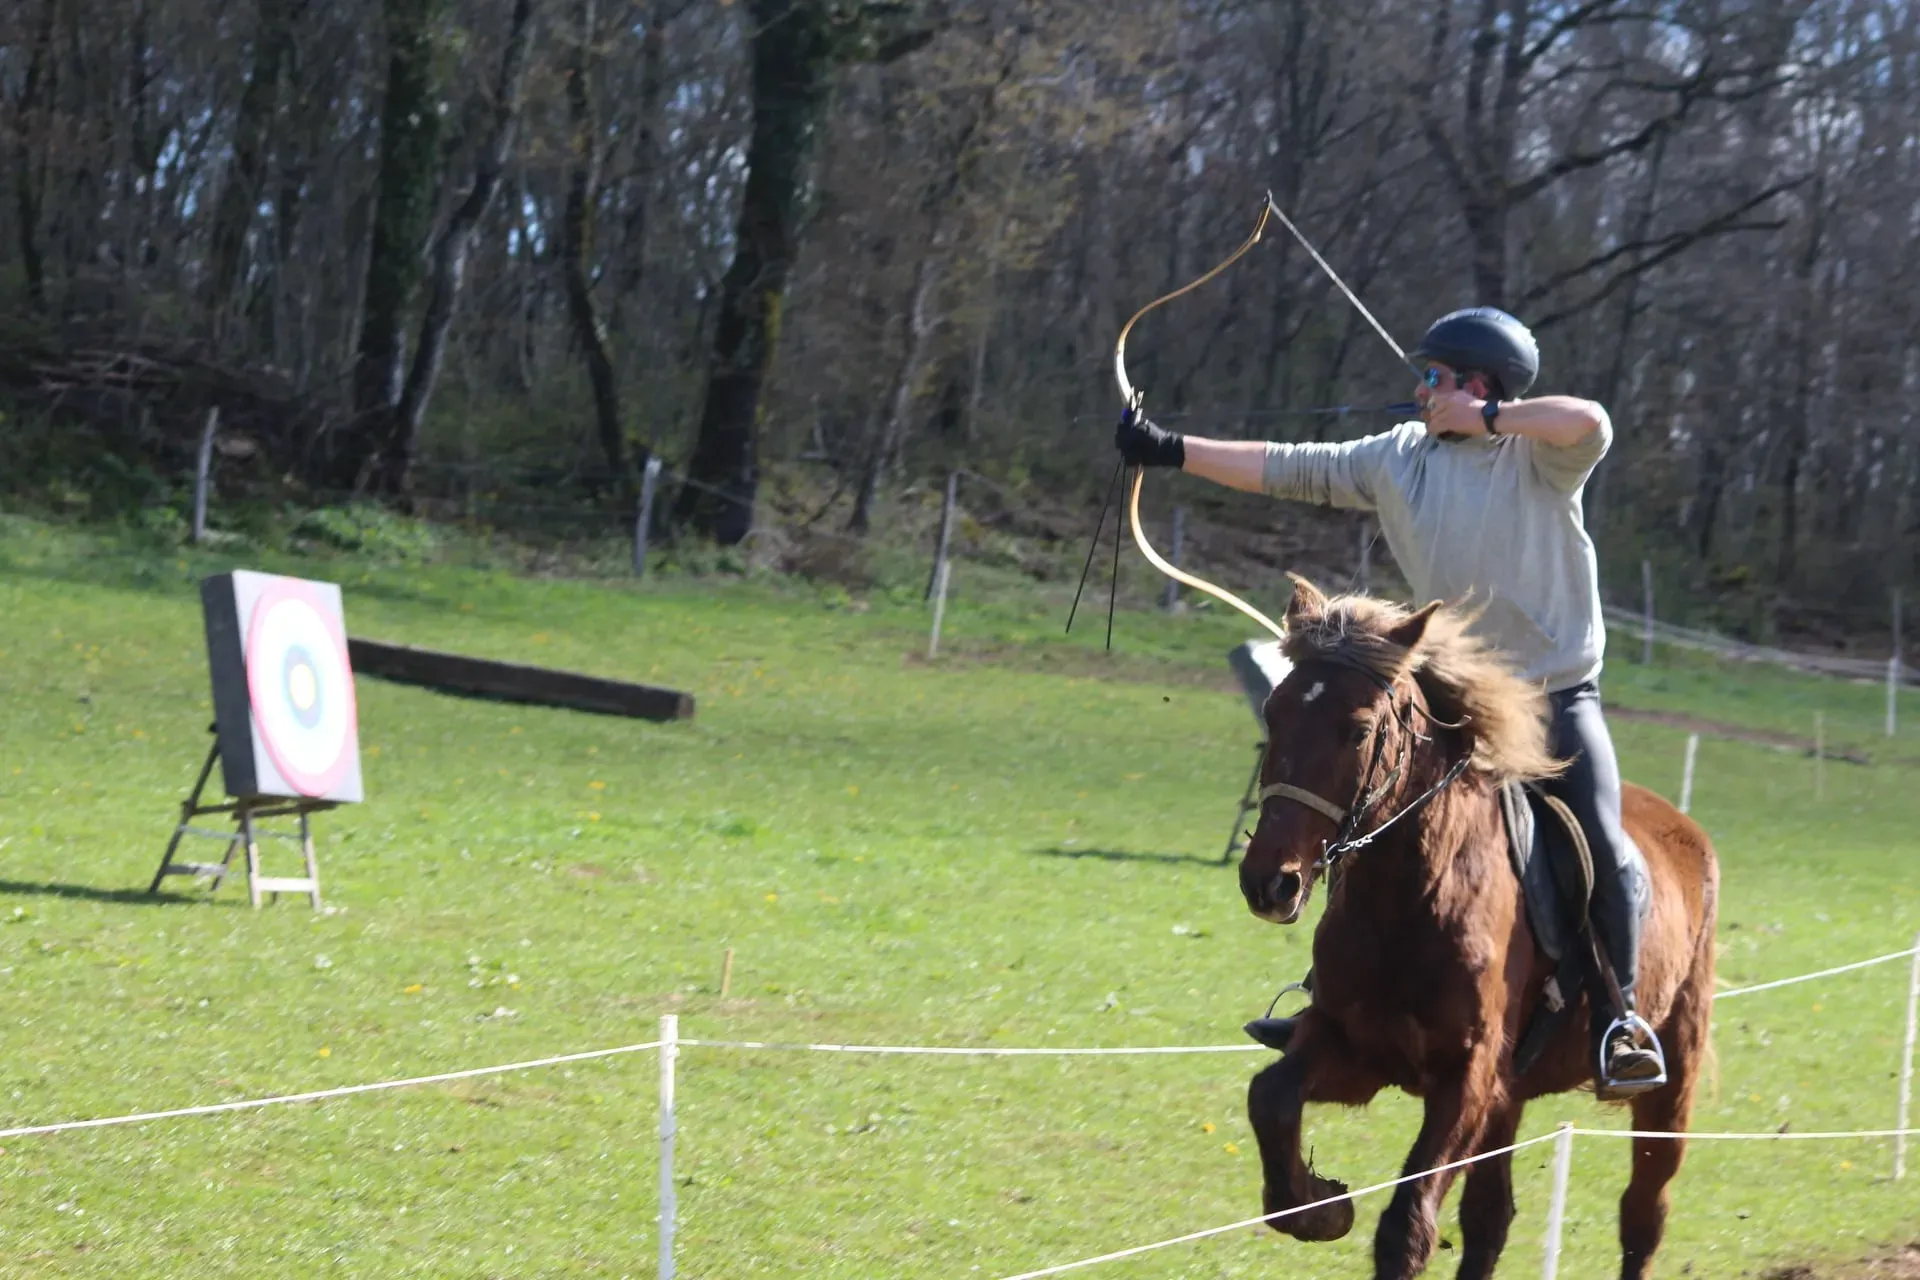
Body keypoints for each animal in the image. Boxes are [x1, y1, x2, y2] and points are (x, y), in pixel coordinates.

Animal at [1238, 578, 1718, 1280]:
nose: (1269, 881)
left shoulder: (1464, 1081)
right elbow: (1270, 1098)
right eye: (1273, 714)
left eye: (1357, 729)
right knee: (1492, 1220)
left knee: (1643, 1214)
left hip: (1670, 1080)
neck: (1410, 901)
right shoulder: (1357, 1050)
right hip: (1509, 1098)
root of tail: (1686, 829)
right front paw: (1321, 1207)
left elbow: (1406, 1227)